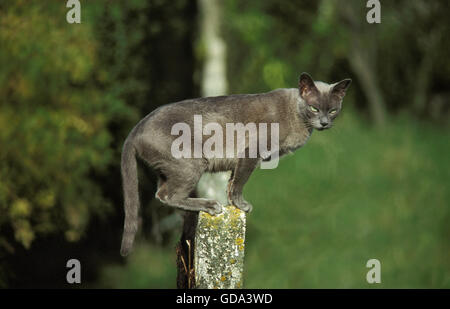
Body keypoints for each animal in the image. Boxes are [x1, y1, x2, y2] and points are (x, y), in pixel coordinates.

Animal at [119, 73, 352, 255]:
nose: (324, 123)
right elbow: (240, 182)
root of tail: (135, 129)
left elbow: (231, 183)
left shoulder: (237, 162)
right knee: (167, 195)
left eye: (333, 110)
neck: (298, 119)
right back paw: (210, 205)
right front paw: (241, 205)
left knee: (161, 192)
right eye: (314, 108)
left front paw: (233, 203)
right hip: (191, 163)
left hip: (168, 169)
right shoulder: (250, 152)